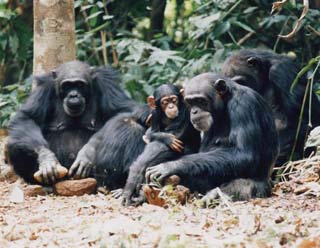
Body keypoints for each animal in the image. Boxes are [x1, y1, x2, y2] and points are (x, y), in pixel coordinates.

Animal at [6, 61, 149, 185]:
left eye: (80, 85)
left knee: (130, 126)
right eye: (67, 85)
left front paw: (87, 153)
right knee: (14, 144)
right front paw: (47, 158)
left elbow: (124, 110)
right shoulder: (45, 88)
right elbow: (27, 117)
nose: (73, 95)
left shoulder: (107, 84)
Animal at [144, 73, 278, 202]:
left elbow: (245, 154)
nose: (194, 111)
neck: (226, 102)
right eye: (190, 102)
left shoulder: (244, 105)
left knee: (242, 186)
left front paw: (170, 166)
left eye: (200, 101)